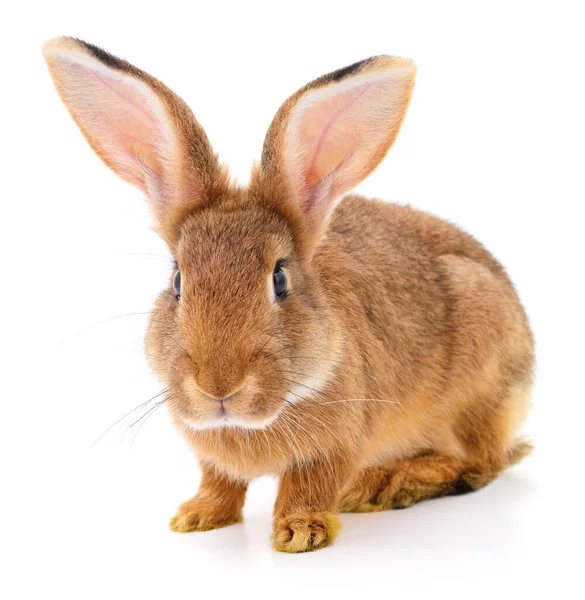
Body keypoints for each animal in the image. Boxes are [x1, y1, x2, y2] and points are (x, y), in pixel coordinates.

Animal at [42, 37, 532, 552]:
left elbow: (310, 484)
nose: (218, 387)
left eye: (280, 279)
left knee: (480, 464)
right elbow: (219, 480)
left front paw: (301, 533)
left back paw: (384, 484)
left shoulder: (337, 445)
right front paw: (197, 516)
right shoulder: (213, 458)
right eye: (177, 281)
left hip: (478, 389)